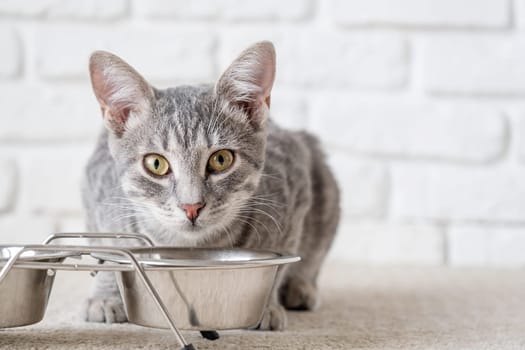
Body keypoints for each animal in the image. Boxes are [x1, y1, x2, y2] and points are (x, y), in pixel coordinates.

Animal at [80, 41, 338, 330]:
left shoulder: (295, 193)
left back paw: (301, 287)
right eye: (156, 163)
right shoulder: (98, 194)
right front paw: (105, 296)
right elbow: (106, 249)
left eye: (221, 159)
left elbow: (283, 260)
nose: (191, 206)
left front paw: (267, 305)